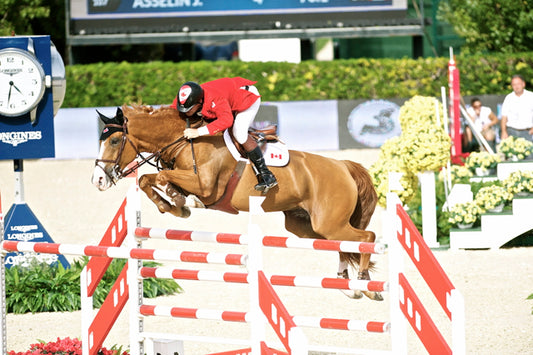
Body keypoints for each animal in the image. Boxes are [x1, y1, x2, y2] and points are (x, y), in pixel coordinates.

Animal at [92, 104, 382, 302]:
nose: (98, 180)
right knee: (343, 245)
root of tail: (343, 165)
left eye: (115, 140)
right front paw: (173, 204)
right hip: (305, 226)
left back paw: (366, 285)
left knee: (366, 237)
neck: (185, 141)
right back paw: (349, 285)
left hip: (329, 222)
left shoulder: (206, 185)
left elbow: (164, 178)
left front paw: (180, 201)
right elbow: (147, 180)